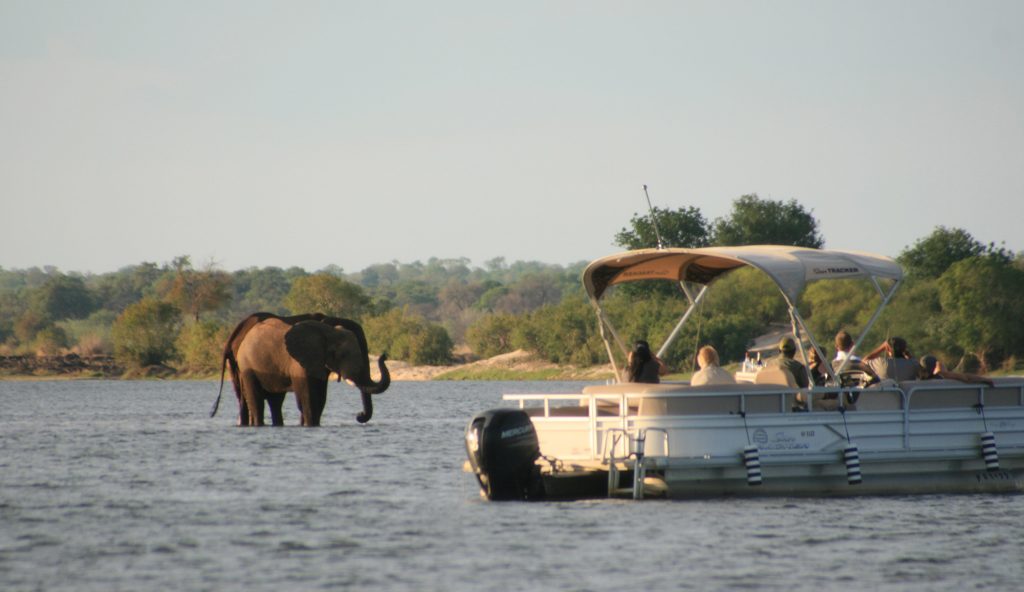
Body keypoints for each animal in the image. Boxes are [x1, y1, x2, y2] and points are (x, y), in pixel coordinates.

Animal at [209, 313, 389, 424]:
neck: (326, 324)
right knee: (254, 400)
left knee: (272, 401)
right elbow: (307, 397)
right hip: (245, 364)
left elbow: (319, 399)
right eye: (343, 355)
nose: (359, 415)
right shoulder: (299, 362)